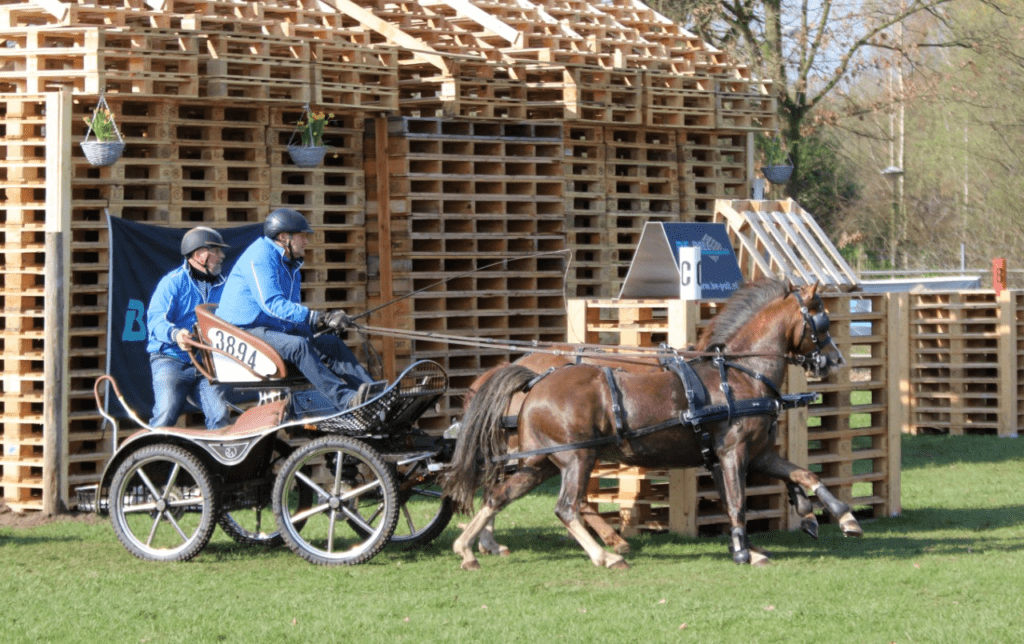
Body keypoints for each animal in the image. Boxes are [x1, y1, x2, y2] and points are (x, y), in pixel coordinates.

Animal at [440, 280, 856, 569]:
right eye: (821, 319)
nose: (835, 360)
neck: (741, 375)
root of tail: (535, 381)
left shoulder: (755, 454)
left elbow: (803, 475)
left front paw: (843, 516)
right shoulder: (734, 453)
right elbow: (737, 502)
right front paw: (743, 550)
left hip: (539, 463)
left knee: (498, 496)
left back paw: (468, 549)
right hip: (576, 459)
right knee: (567, 507)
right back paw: (606, 555)